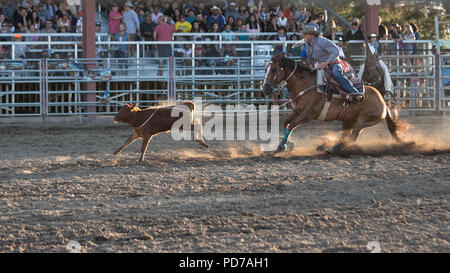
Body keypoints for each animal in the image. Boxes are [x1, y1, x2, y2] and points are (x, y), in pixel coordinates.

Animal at [262, 53, 406, 153]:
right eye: (266, 69)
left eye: (273, 70)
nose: (265, 88)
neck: (306, 85)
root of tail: (383, 103)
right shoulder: (298, 111)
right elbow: (286, 123)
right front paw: (287, 144)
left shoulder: (308, 115)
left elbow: (292, 125)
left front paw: (283, 145)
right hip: (348, 121)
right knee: (346, 135)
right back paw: (327, 146)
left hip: (364, 120)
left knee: (353, 136)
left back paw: (334, 148)